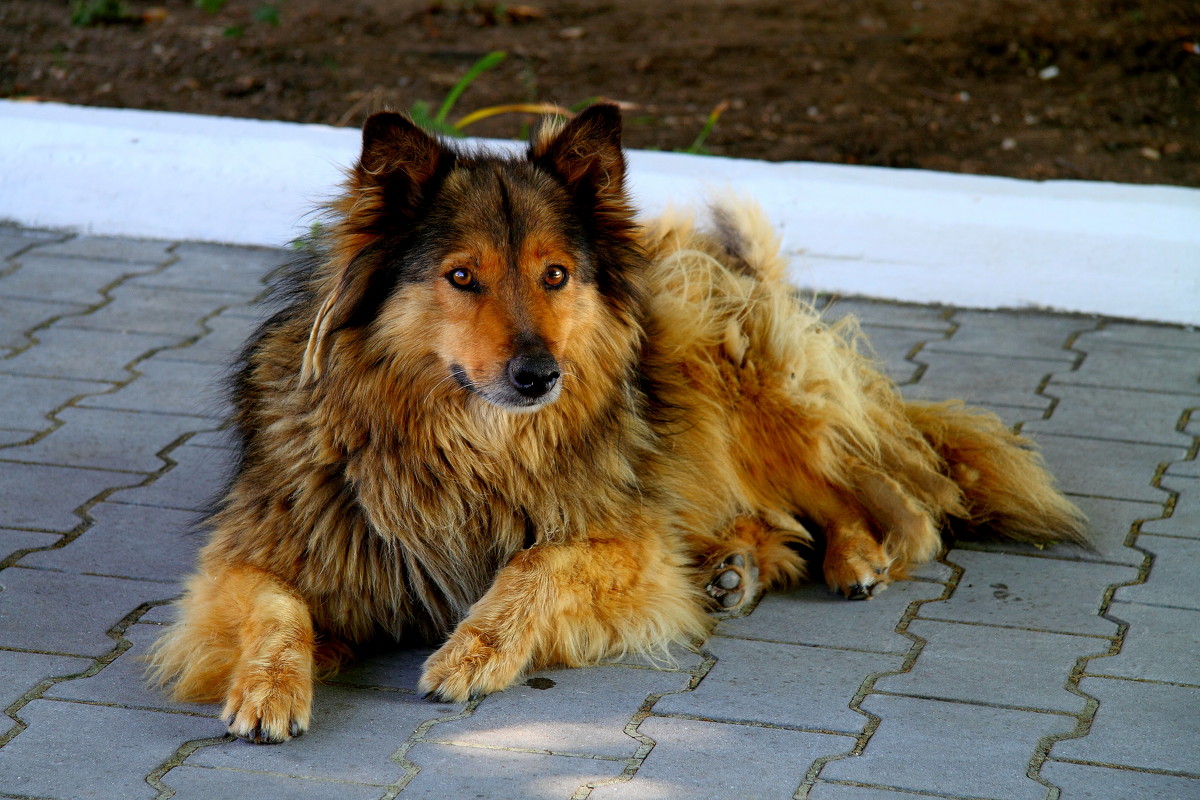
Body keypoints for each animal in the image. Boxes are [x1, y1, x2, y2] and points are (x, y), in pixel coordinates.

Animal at [147, 104, 1089, 743]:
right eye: (461, 276)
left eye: (556, 275)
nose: (540, 376)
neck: (464, 449)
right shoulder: (263, 548)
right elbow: (277, 609)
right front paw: (270, 688)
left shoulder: (627, 544)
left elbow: (534, 565)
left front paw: (470, 653)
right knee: (796, 513)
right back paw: (741, 565)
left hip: (725, 367)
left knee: (887, 498)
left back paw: (854, 555)